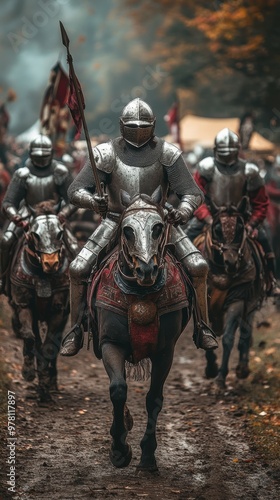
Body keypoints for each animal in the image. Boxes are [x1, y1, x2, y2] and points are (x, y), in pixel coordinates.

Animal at [10, 201, 72, 400]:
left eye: (59, 233)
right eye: (35, 234)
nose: (51, 264)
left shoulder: (59, 310)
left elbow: (49, 346)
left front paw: (45, 381)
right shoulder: (24, 306)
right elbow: (30, 338)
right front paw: (29, 372)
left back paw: (51, 381)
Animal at [87, 188, 192, 472]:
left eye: (158, 228)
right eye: (127, 230)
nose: (146, 269)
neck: (140, 291)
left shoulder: (165, 352)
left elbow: (154, 399)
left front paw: (147, 456)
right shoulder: (110, 344)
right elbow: (118, 389)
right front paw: (119, 449)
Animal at [194, 197, 266, 388]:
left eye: (240, 229)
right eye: (217, 229)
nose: (232, 263)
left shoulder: (237, 301)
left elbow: (228, 338)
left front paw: (221, 378)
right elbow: (206, 331)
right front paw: (211, 368)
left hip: (251, 303)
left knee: (246, 332)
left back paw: (242, 368)